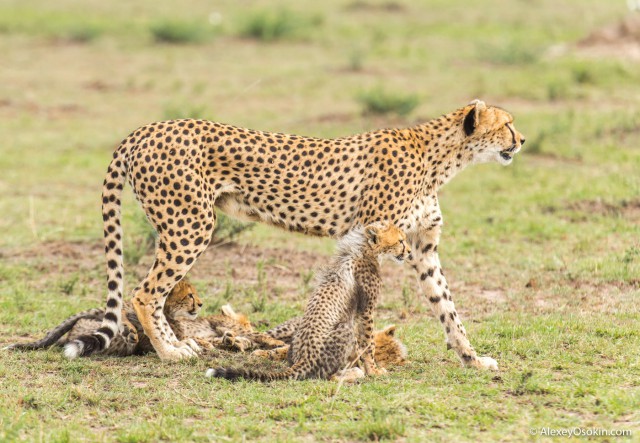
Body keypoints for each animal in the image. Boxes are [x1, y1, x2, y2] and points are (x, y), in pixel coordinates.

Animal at [65, 100, 524, 372]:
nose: (521, 140)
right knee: (145, 292)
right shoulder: (375, 244)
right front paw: (367, 367)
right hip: (191, 224)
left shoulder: (424, 248)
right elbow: (365, 316)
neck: (440, 160)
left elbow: (448, 307)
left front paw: (472, 358)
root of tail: (146, 128)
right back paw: (171, 351)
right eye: (508, 124)